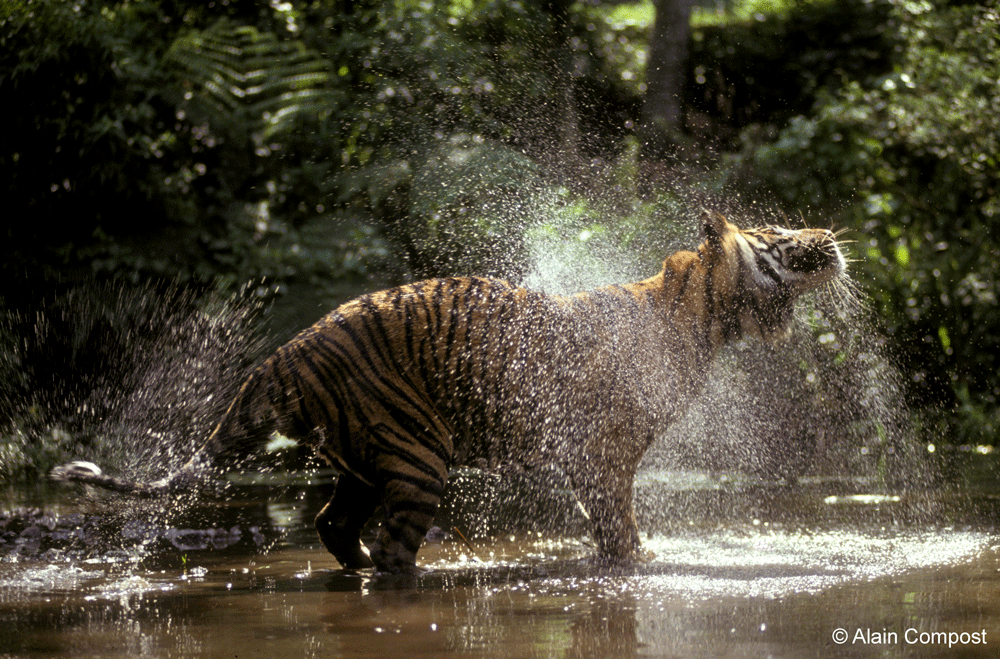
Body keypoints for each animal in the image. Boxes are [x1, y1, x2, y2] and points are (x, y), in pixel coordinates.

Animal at [50, 210, 848, 572]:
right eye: (780, 234)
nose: (834, 236)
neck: (705, 320)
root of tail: (287, 353)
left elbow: (604, 524)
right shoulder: (605, 452)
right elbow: (619, 524)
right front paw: (641, 564)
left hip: (363, 458)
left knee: (334, 525)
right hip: (417, 456)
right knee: (390, 548)